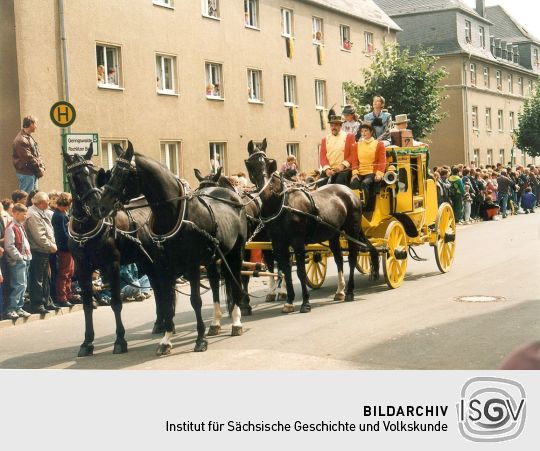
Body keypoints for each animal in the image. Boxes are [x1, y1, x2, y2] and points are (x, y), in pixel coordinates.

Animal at [63, 145, 160, 356]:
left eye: (95, 173)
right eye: (75, 177)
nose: (96, 207)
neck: (85, 230)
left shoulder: (112, 265)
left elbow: (116, 303)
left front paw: (120, 340)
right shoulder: (82, 269)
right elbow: (87, 305)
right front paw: (87, 342)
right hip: (146, 261)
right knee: (158, 288)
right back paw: (160, 322)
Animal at [98, 143, 247, 354]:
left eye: (125, 174)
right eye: (110, 173)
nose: (101, 206)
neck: (172, 213)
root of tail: (234, 197)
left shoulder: (192, 266)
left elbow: (195, 301)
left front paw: (200, 339)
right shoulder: (163, 267)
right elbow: (167, 301)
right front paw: (166, 340)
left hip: (235, 253)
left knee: (235, 283)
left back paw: (236, 322)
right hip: (213, 258)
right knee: (216, 284)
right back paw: (216, 324)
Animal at [245, 140, 380, 314]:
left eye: (268, 163)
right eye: (250, 164)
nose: (265, 189)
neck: (281, 203)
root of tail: (350, 192)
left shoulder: (297, 242)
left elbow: (300, 272)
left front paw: (305, 303)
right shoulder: (278, 243)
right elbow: (286, 271)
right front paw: (289, 301)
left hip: (352, 231)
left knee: (351, 258)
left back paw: (350, 292)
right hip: (333, 234)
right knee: (338, 259)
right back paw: (340, 291)